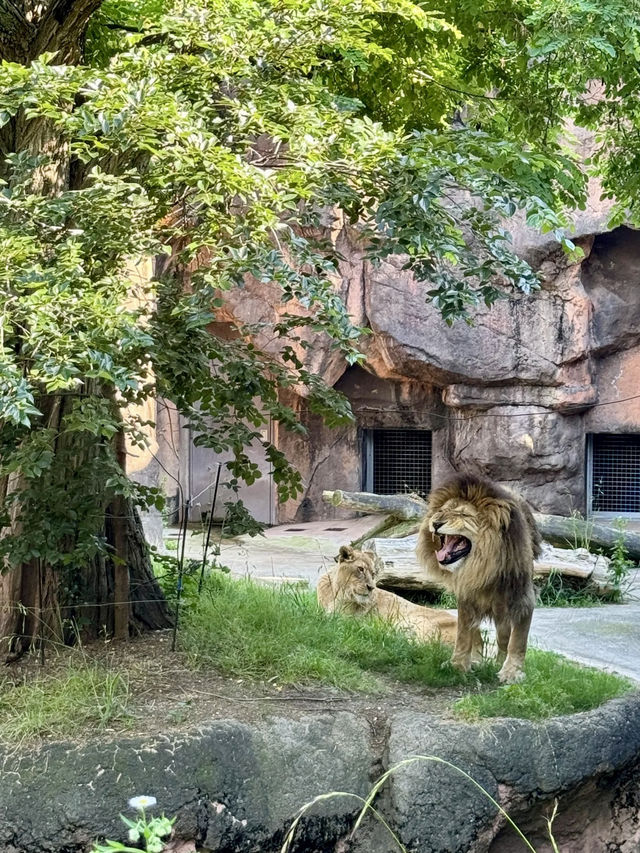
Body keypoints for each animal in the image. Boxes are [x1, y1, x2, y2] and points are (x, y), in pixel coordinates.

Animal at [316, 544, 458, 644]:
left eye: (373, 573)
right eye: (361, 569)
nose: (371, 587)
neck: (335, 592)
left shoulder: (343, 619)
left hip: (415, 622)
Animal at [416, 476, 540, 684]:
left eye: (463, 514)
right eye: (441, 511)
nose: (436, 523)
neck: (481, 568)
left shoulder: (522, 599)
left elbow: (517, 641)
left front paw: (511, 672)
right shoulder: (466, 598)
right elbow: (463, 635)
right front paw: (458, 664)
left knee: (503, 638)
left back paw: (498, 662)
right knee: (476, 636)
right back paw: (475, 659)